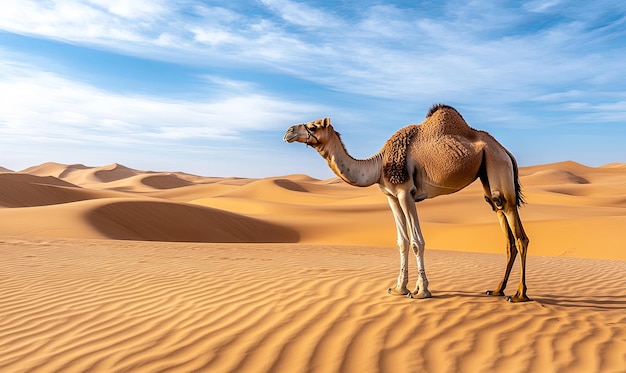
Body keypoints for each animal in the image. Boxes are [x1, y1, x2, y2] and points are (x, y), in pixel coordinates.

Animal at [286, 103, 528, 300]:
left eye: (314, 126)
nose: (289, 131)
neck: (378, 165)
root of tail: (506, 151)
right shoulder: (391, 197)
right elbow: (401, 242)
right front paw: (398, 288)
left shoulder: (405, 193)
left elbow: (416, 242)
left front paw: (421, 291)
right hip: (487, 175)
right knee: (502, 222)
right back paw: (497, 290)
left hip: (497, 166)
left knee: (518, 232)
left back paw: (519, 295)